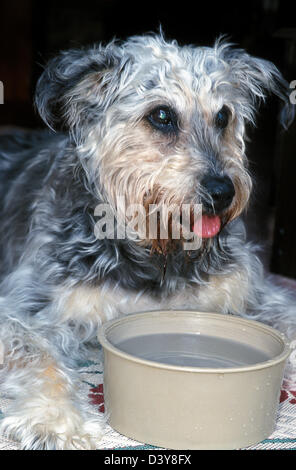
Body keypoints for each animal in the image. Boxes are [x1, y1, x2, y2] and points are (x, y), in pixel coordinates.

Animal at [0, 31, 296, 450]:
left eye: (223, 116)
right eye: (161, 116)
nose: (223, 192)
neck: (157, 253)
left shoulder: (258, 295)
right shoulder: (23, 309)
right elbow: (41, 358)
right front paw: (55, 420)